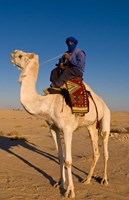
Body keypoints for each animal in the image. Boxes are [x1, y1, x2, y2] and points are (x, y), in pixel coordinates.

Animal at [10, 50, 110, 198]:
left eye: (21, 56)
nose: (13, 53)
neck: (48, 103)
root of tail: (103, 103)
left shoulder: (67, 129)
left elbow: (68, 160)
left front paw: (70, 191)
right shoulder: (53, 128)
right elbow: (60, 157)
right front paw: (60, 183)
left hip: (105, 119)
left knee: (105, 149)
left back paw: (104, 179)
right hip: (91, 126)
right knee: (96, 151)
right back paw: (87, 180)